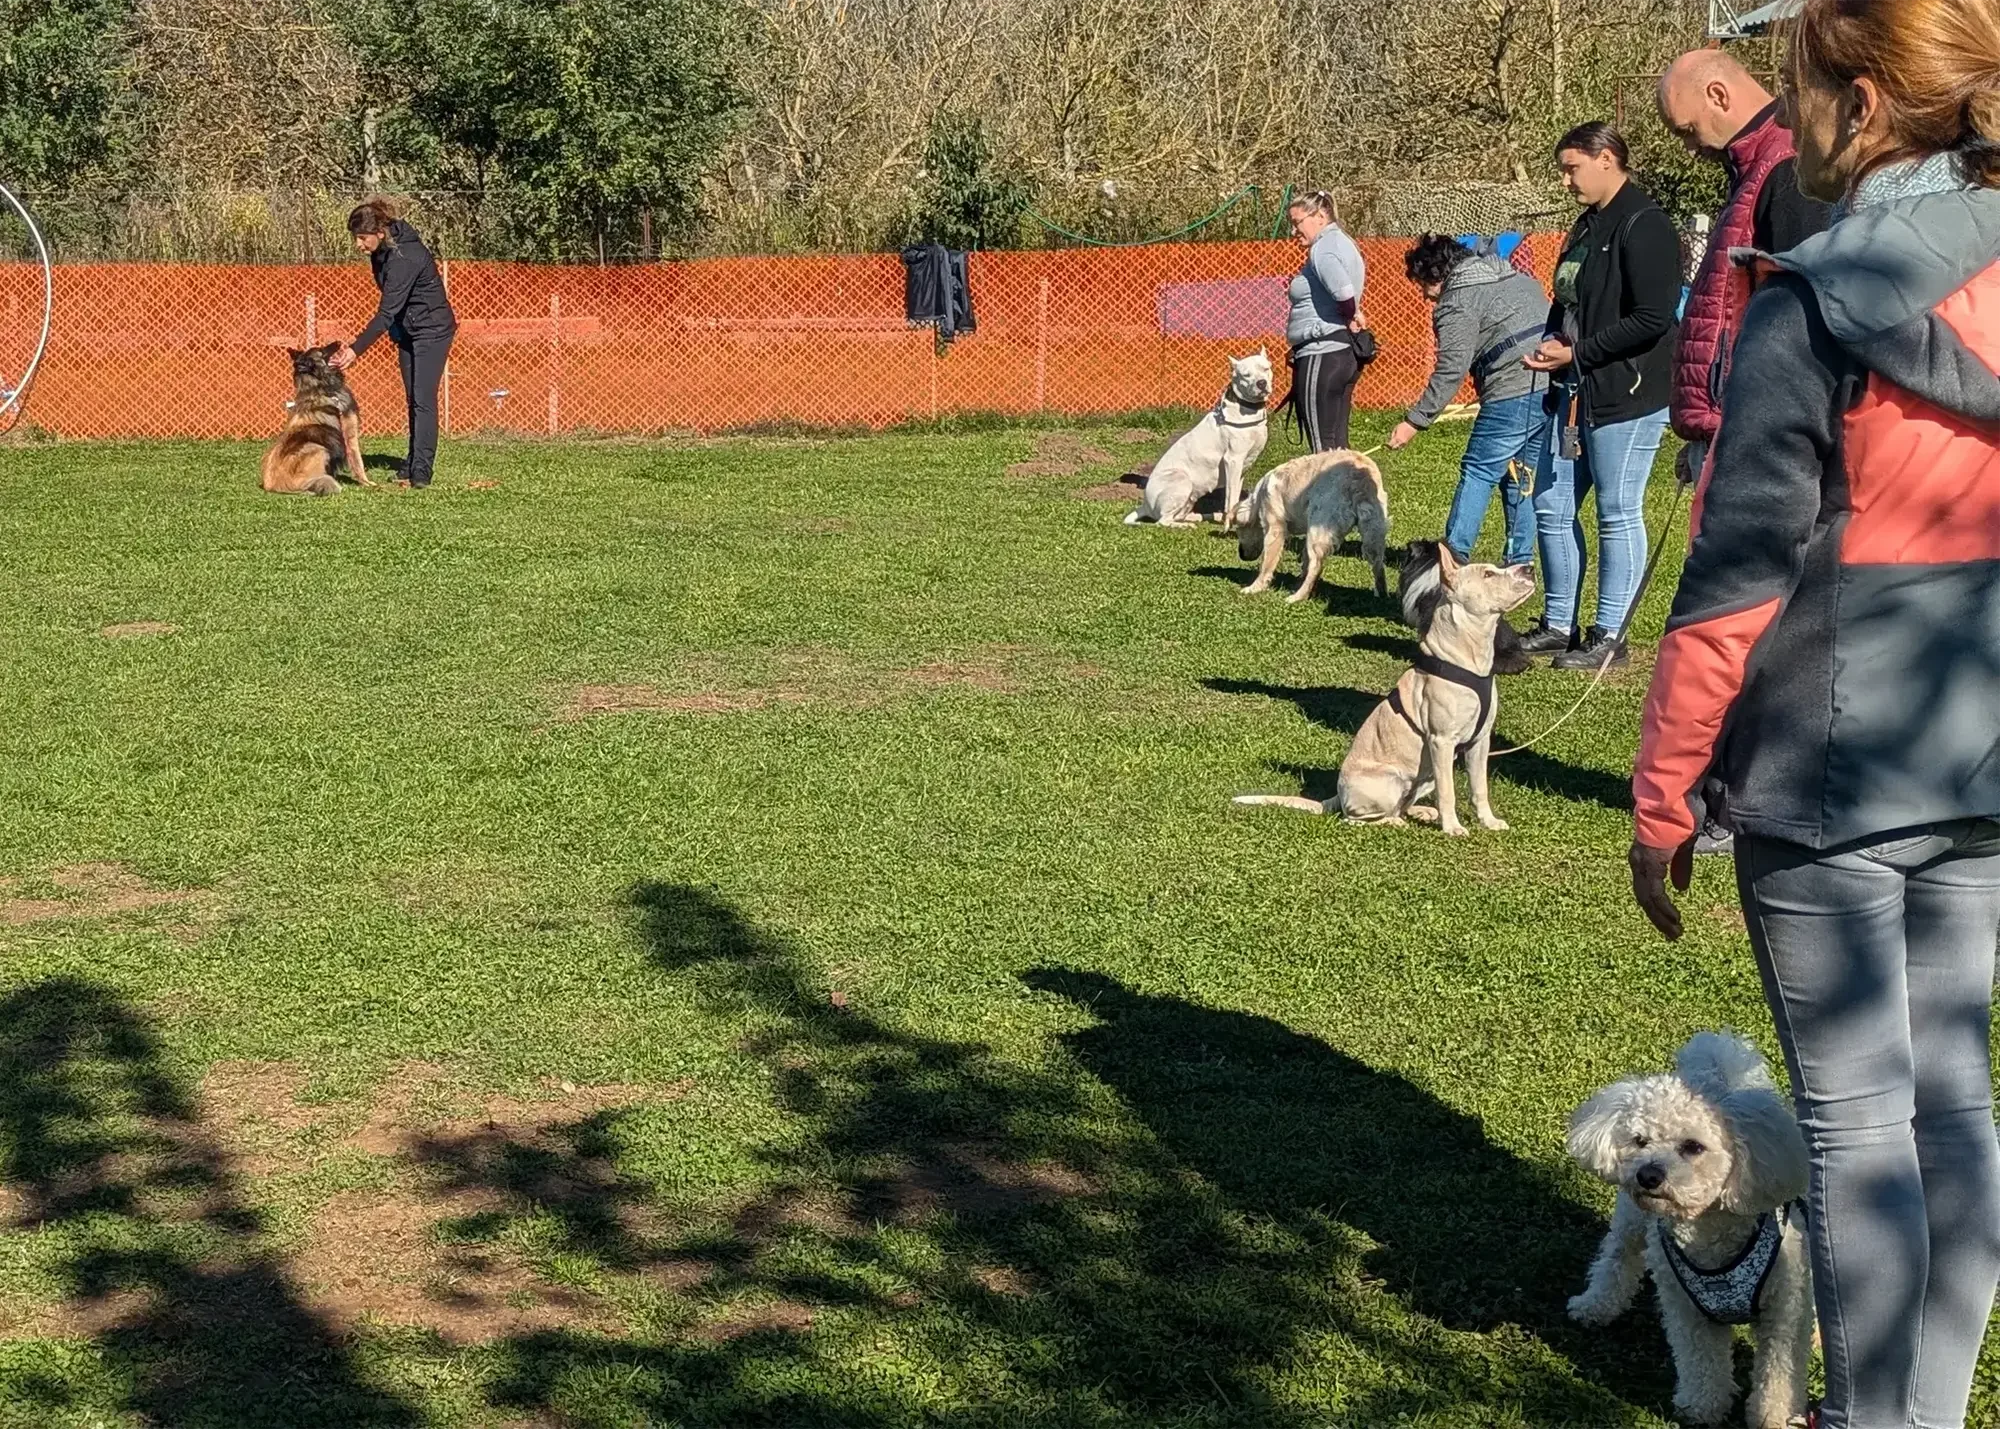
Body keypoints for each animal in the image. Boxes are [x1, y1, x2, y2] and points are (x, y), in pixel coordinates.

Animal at [262, 344, 369, 496]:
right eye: (323, 350)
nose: (338, 342)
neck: (321, 387)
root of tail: (272, 485)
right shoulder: (350, 434)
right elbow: (358, 463)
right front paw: (370, 484)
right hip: (316, 448)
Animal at [1125, 351, 1272, 529]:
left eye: (1265, 368)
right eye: (1246, 375)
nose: (1261, 383)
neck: (1247, 410)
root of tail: (1145, 505)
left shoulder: (1242, 468)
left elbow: (1235, 496)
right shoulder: (1233, 460)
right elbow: (1230, 499)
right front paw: (1229, 524)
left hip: (1189, 498)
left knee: (1178, 516)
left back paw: (1205, 516)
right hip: (1181, 480)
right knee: (1163, 521)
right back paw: (1185, 525)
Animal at [1234, 449, 1390, 602]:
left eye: (1239, 531)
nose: (1241, 554)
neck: (1259, 496)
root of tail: (1360, 478)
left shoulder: (1274, 527)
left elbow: (1266, 564)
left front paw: (1254, 587)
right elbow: (1304, 559)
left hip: (1318, 529)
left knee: (1317, 566)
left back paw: (1297, 596)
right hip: (1373, 531)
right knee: (1378, 564)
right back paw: (1381, 594)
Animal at [1566, 1033, 1813, 1429]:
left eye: (1693, 1147)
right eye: (1640, 1140)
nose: (1648, 1176)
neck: (1708, 1233)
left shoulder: (1784, 1312)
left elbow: (1780, 1370)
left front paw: (1776, 1417)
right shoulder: (1686, 1309)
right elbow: (1701, 1362)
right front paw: (1702, 1407)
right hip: (1631, 1223)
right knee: (1616, 1260)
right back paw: (1594, 1305)